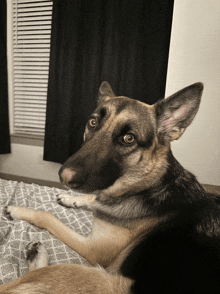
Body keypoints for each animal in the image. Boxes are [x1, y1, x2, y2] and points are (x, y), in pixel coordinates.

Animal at [1, 81, 220, 292]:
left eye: (129, 138)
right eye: (93, 122)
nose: (63, 176)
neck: (144, 187)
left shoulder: (93, 249)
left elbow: (48, 216)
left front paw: (19, 210)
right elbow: (92, 198)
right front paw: (71, 198)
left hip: (83, 273)